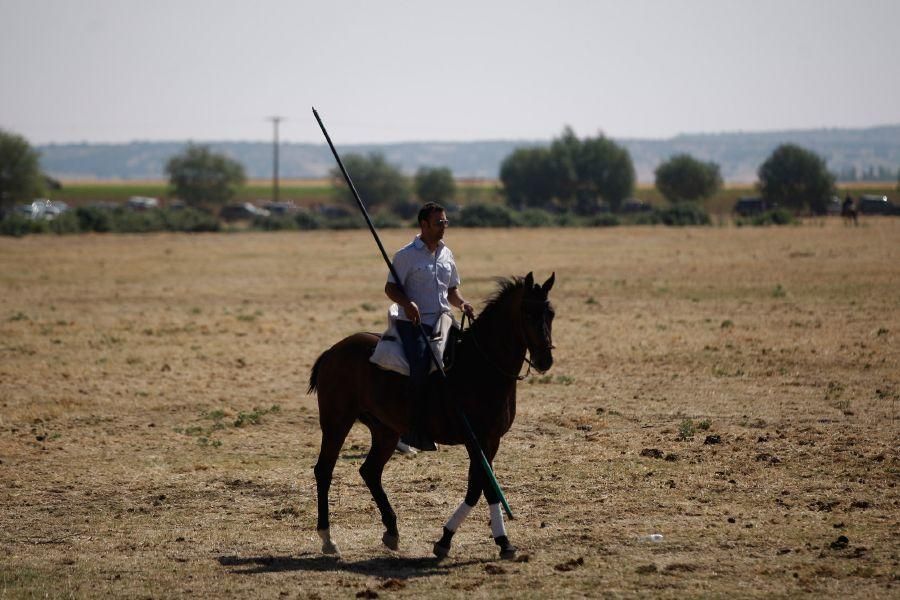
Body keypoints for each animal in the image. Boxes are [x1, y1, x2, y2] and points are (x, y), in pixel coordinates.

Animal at [310, 272, 556, 556]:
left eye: (550, 313)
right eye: (527, 313)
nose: (544, 360)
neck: (482, 366)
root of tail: (333, 351)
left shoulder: (491, 440)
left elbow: (479, 487)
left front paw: (478, 539)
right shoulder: (476, 440)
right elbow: (483, 487)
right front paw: (479, 540)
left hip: (385, 430)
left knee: (370, 471)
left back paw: (391, 531)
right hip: (337, 422)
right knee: (324, 470)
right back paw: (327, 538)